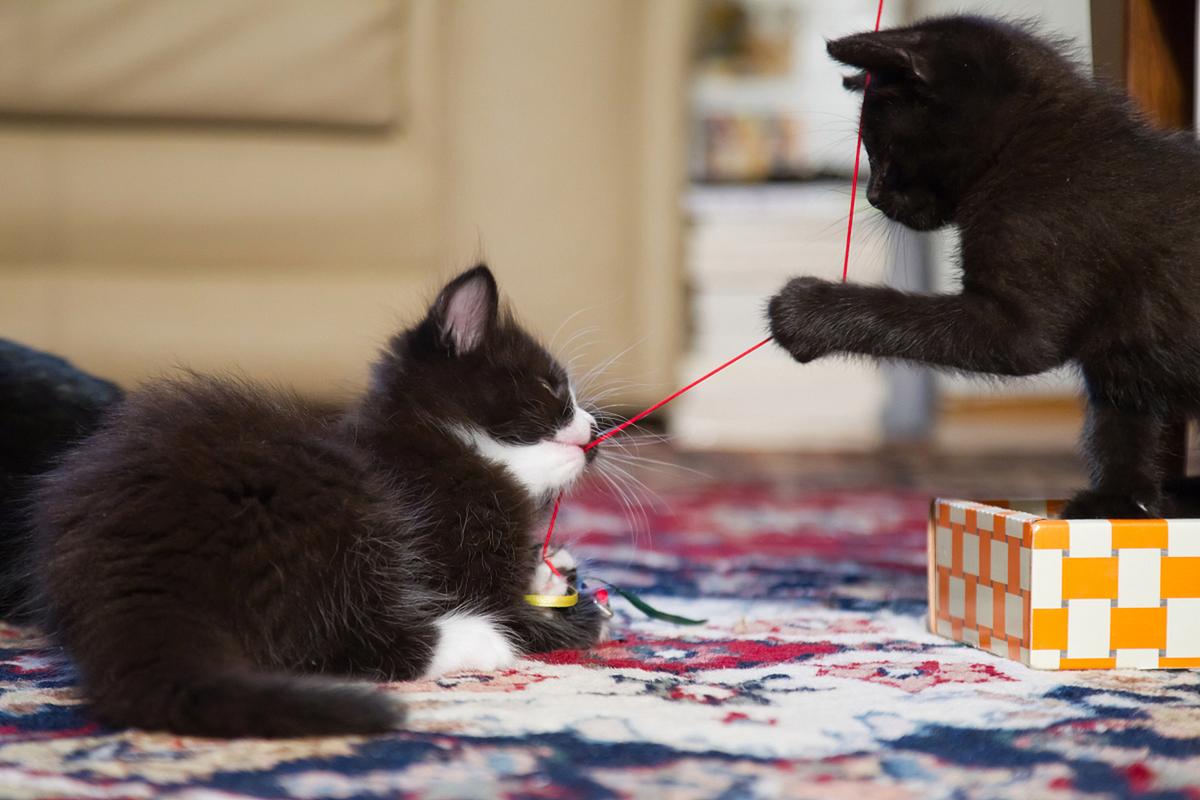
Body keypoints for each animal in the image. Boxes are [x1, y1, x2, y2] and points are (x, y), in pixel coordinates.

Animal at [25, 267, 609, 738]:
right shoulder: (452, 543)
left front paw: (552, 570)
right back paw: (478, 640)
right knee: (346, 641)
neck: (449, 442)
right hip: (344, 511)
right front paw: (581, 613)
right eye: (553, 389)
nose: (594, 428)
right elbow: (510, 604)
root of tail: (138, 575)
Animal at [768, 17, 1200, 520]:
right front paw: (1117, 503)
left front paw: (803, 309)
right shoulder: (1117, 359)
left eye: (883, 151)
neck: (1028, 146)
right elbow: (1120, 427)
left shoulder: (1020, 316)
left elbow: (903, 314)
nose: (873, 195)